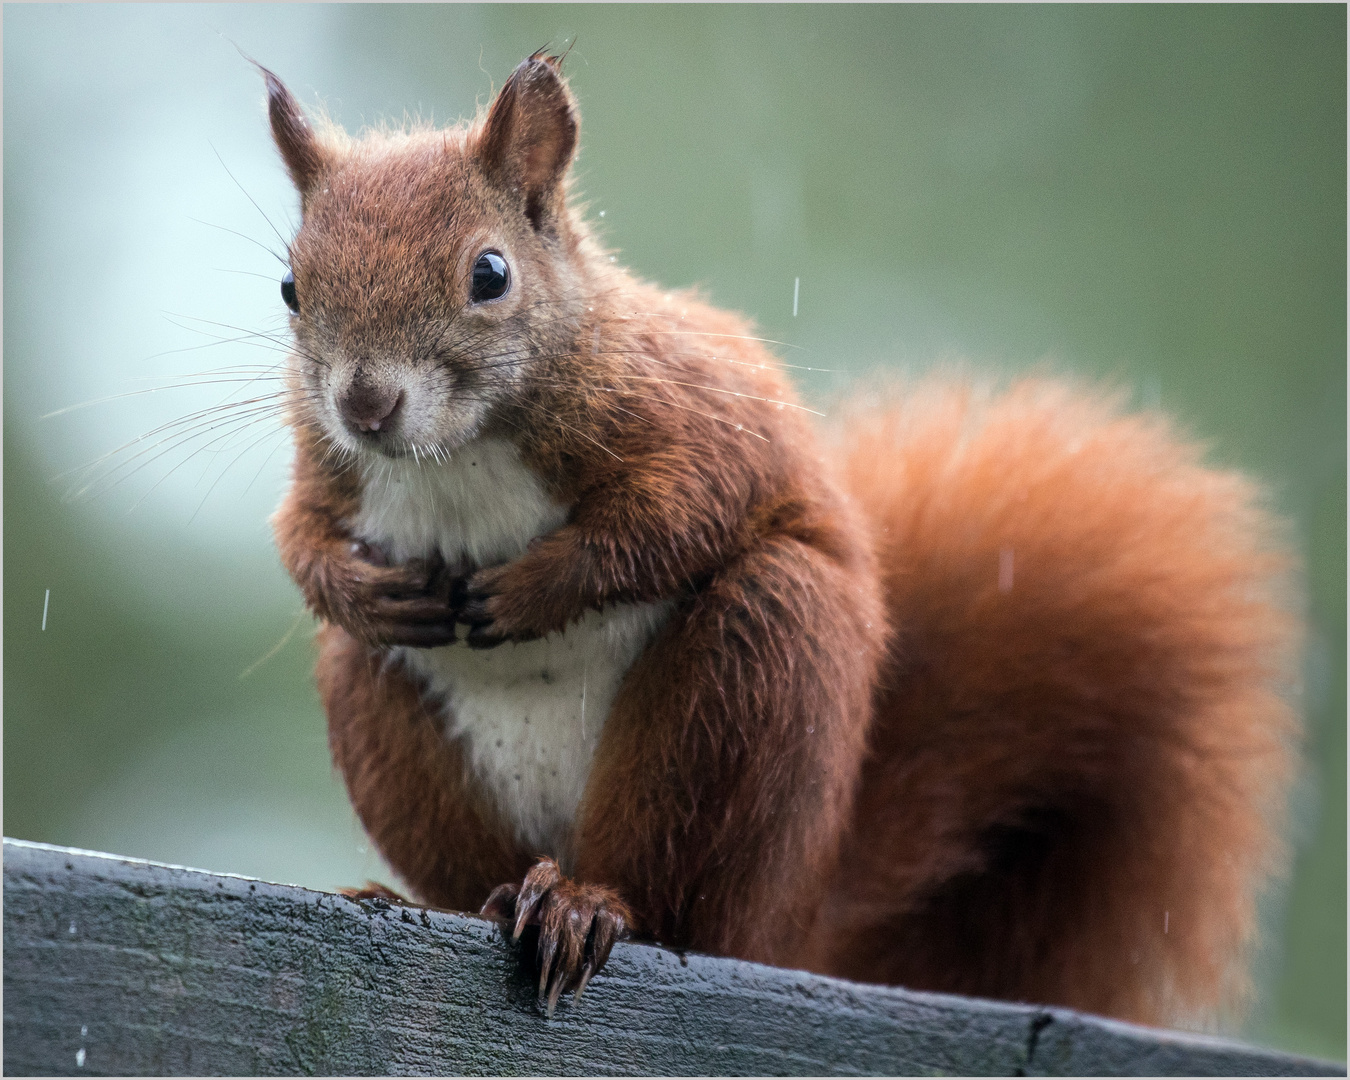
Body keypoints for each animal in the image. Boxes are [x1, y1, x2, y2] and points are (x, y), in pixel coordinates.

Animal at [260, 54, 1296, 1026]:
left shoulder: (694, 413)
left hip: (754, 669)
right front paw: (356, 588)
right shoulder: (328, 471)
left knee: (675, 901)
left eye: (489, 274)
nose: (366, 404)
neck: (456, 455)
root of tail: (795, 919)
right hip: (390, 716)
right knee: (469, 848)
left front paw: (537, 587)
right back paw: (451, 899)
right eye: (291, 288)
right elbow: (300, 539)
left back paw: (587, 905)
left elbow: (683, 510)